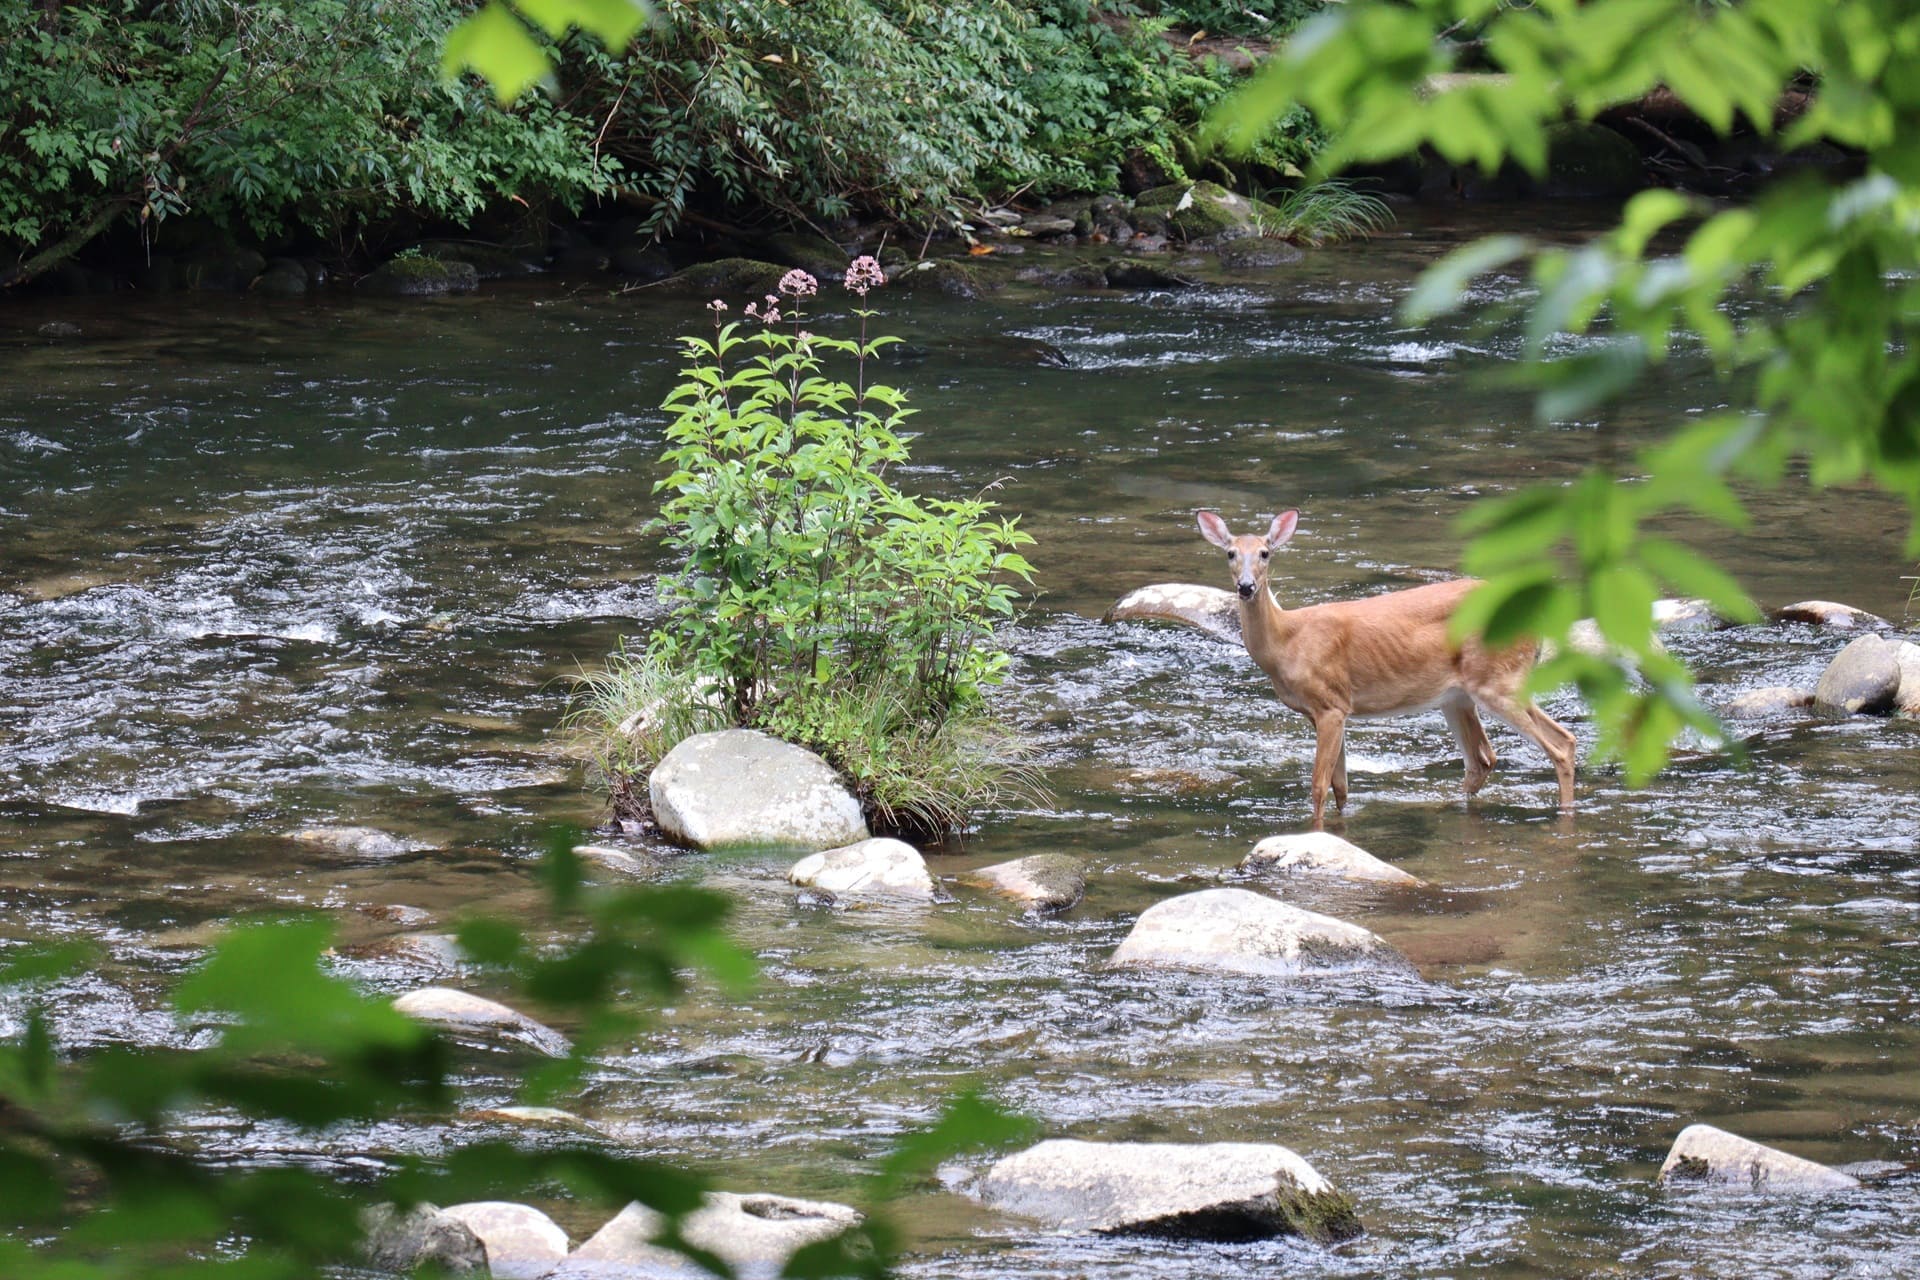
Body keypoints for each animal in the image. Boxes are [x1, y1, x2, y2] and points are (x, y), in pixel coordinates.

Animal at [1196, 508, 1576, 828]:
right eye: (1230, 553)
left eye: (1265, 553)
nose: (1246, 587)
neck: (1287, 643)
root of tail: (1540, 623)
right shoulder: (1327, 710)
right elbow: (1341, 787)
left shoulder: (1330, 703)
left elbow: (1319, 786)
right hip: (1462, 695)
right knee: (1488, 757)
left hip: (1494, 680)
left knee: (1556, 745)